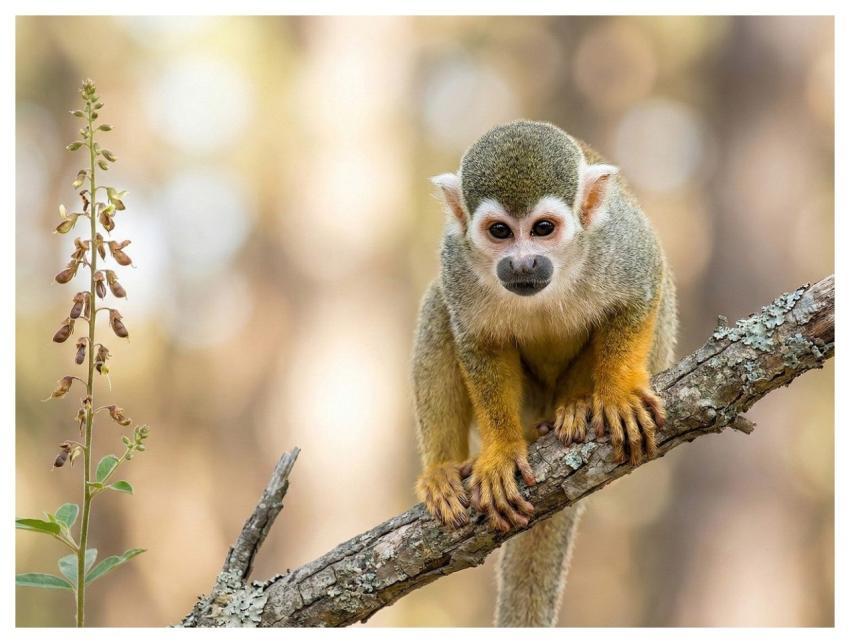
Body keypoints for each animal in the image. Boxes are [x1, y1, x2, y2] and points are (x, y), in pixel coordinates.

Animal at [411, 120, 677, 626]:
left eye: (543, 229)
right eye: (499, 231)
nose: (522, 262)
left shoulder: (617, 243)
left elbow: (642, 286)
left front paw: (616, 394)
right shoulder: (457, 259)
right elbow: (479, 343)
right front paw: (500, 452)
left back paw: (576, 406)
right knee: (438, 306)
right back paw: (443, 468)